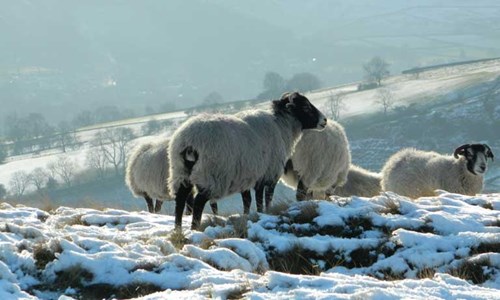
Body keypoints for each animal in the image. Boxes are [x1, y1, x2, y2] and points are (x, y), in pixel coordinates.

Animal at [168, 92, 328, 229]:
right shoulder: (269, 174)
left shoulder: (246, 177)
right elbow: (264, 198)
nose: (324, 120)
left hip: (181, 172)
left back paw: (178, 229)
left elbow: (248, 201)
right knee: (198, 202)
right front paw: (265, 213)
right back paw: (194, 228)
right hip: (212, 175)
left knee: (180, 200)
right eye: (305, 106)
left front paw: (247, 216)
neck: (282, 127)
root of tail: (189, 141)